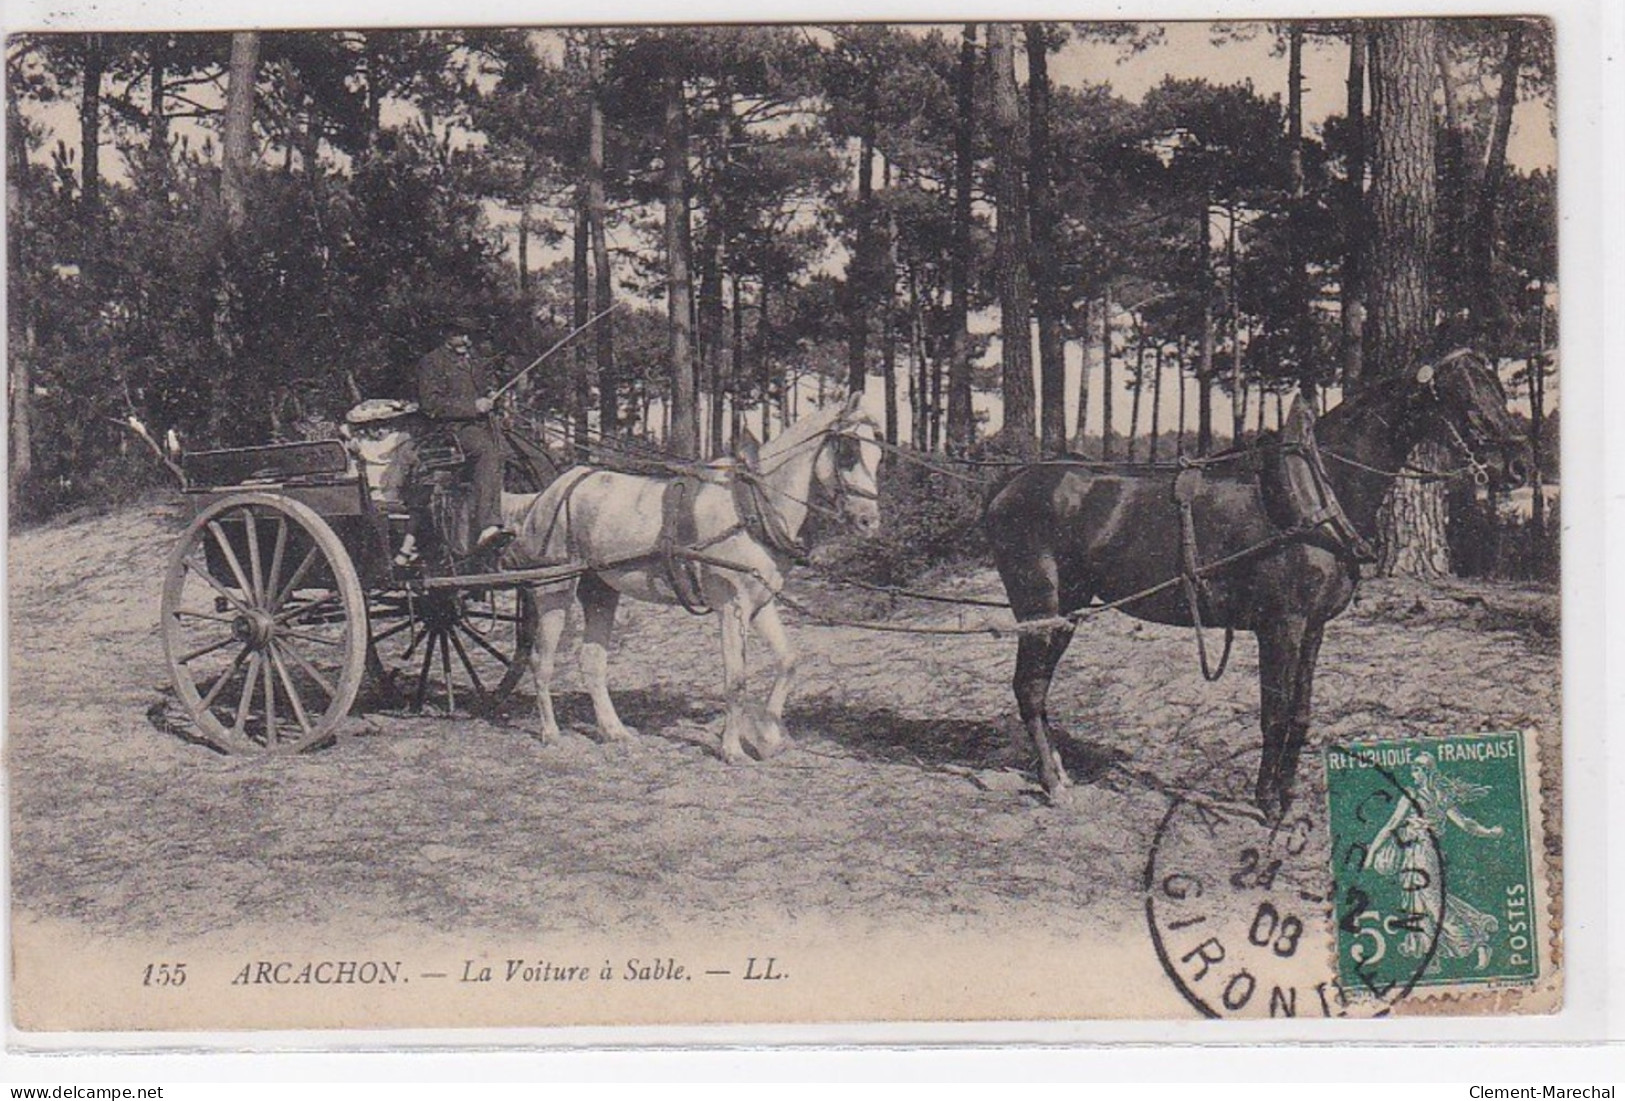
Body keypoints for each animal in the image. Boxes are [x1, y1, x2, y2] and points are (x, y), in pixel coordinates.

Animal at [500, 396, 884, 766]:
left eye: (878, 454)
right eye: (848, 452)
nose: (870, 521)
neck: (751, 508)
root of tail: (547, 493)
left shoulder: (760, 604)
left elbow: (788, 661)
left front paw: (769, 735)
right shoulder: (731, 606)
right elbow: (736, 680)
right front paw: (732, 749)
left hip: (600, 590)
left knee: (592, 661)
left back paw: (614, 730)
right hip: (554, 588)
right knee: (541, 660)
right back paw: (551, 733)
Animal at [981, 354, 1527, 818]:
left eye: (1498, 389)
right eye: (1466, 399)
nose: (1518, 467)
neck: (1316, 492)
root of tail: (1010, 482)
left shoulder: (1312, 628)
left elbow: (1301, 714)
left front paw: (1286, 793)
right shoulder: (1280, 625)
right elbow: (1275, 714)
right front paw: (1267, 801)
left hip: (1067, 609)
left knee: (1037, 688)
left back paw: (1056, 772)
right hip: (1039, 604)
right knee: (1029, 687)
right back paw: (1054, 783)